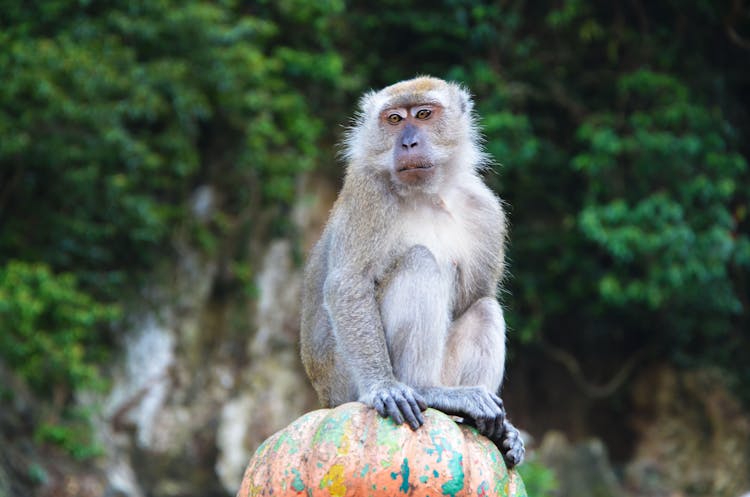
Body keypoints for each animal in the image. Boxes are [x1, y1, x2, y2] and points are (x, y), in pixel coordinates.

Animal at [302, 75, 524, 466]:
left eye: (423, 114)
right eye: (393, 119)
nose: (408, 142)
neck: (427, 194)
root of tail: (325, 398)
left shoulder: (486, 210)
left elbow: (473, 299)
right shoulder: (368, 190)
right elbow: (348, 284)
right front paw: (384, 386)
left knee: (484, 307)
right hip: (345, 381)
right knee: (420, 261)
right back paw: (424, 390)